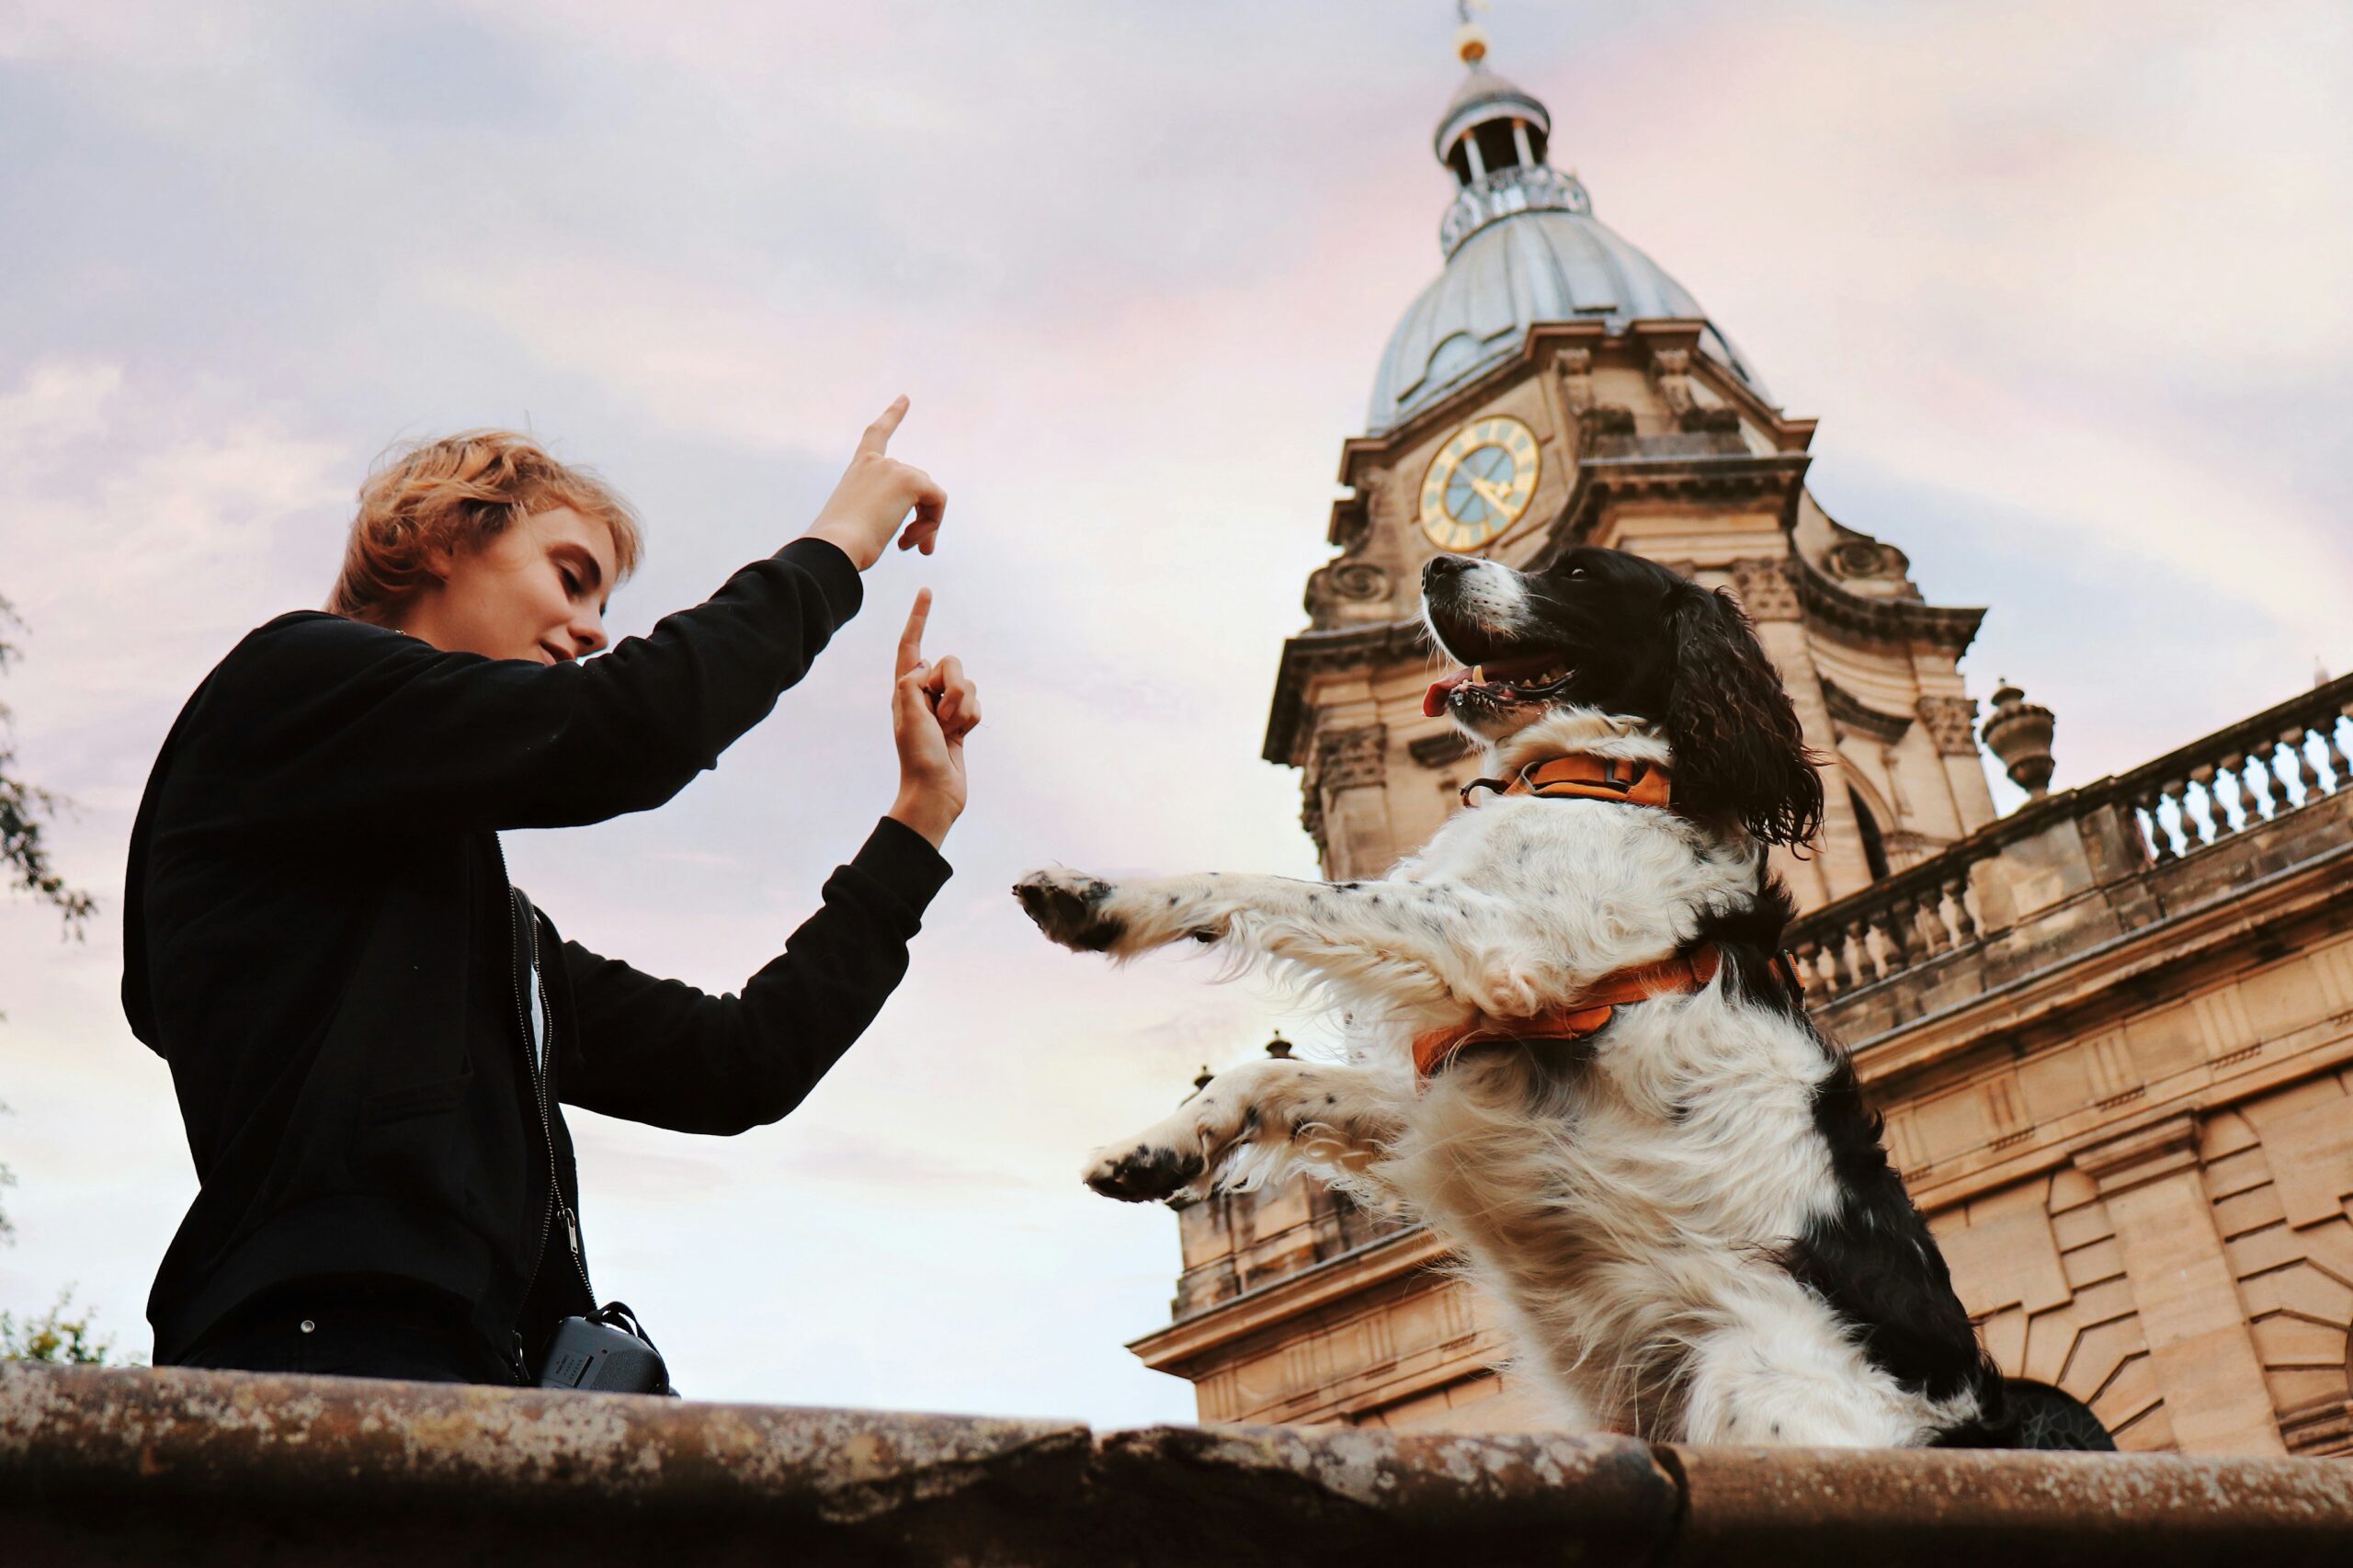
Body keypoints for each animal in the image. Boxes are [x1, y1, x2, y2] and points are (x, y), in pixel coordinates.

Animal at [1011, 546, 2061, 1440]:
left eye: (1579, 571)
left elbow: (1266, 886)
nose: (1436, 564)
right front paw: (1153, 1149)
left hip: (1750, 1394)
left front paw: (1102, 900)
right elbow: (1268, 1079)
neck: (1604, 777)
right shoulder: (1467, 1068)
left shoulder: (1501, 946)